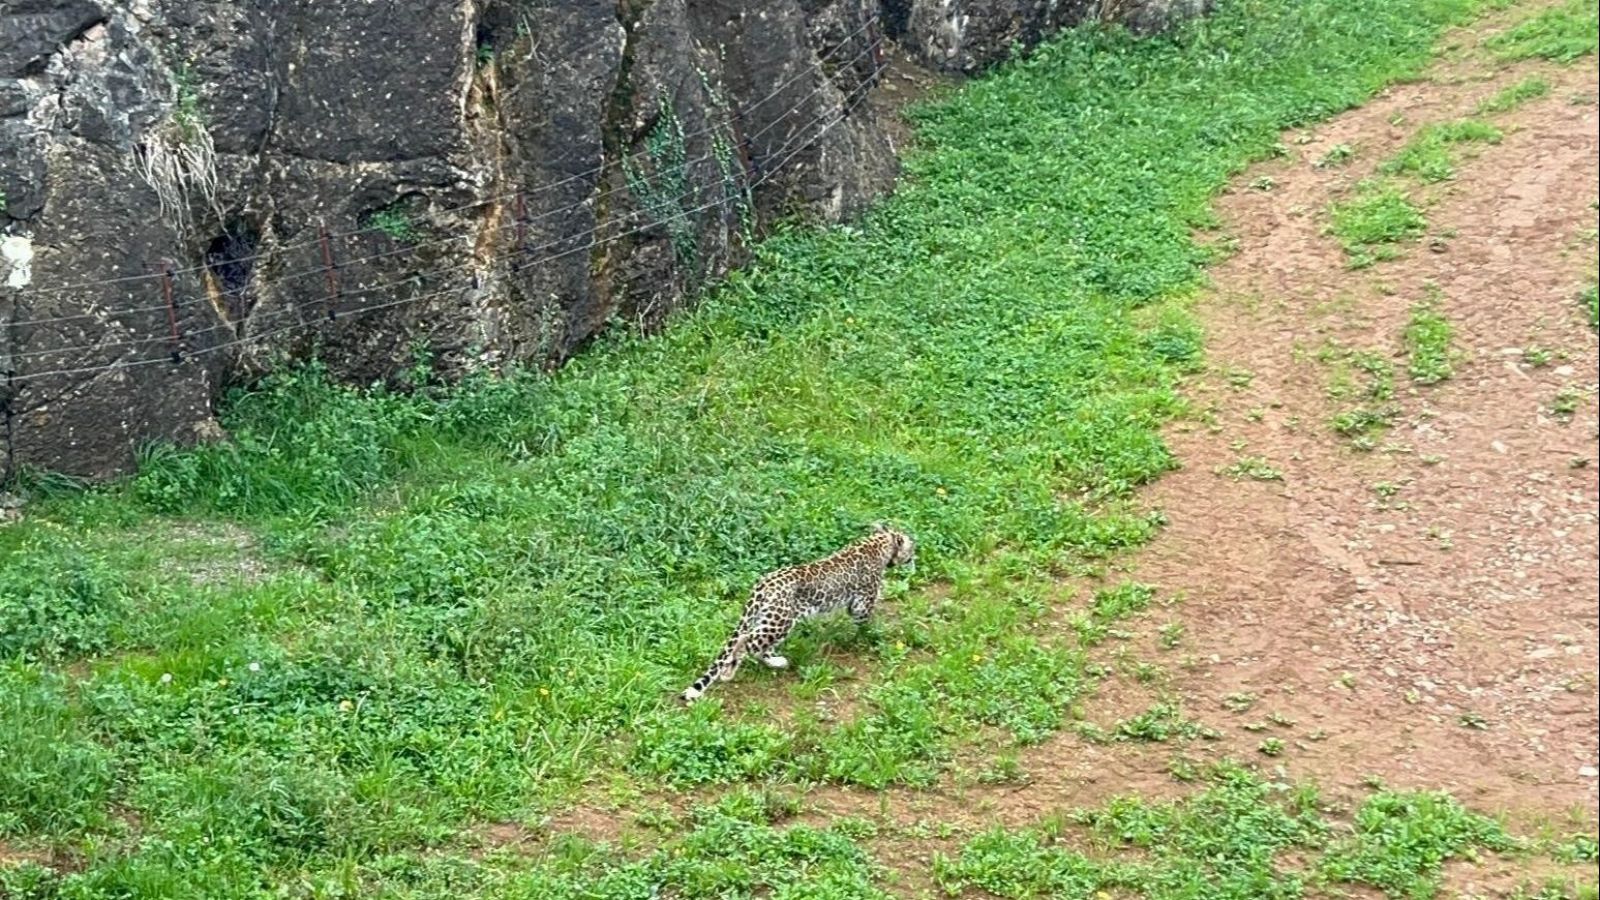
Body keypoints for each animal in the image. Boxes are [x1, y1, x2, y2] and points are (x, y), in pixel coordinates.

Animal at [681, 522, 921, 704]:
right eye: (911, 546)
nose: (915, 556)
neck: (880, 543)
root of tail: (762, 585)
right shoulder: (862, 603)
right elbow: (867, 622)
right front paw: (873, 634)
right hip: (779, 622)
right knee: (746, 641)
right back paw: (729, 672)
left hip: (772, 619)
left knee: (758, 646)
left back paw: (776, 662)